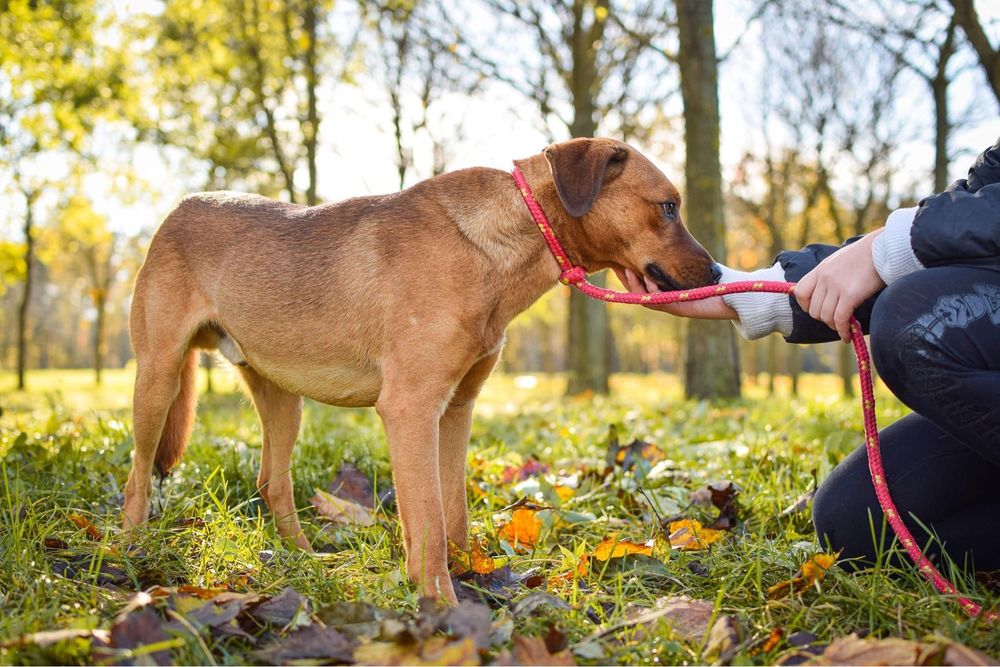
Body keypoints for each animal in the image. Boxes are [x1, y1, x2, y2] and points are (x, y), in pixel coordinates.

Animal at [123, 137, 720, 604]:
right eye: (669, 206)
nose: (716, 271)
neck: (499, 242)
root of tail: (178, 210)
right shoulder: (411, 409)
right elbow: (429, 520)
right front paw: (442, 605)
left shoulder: (455, 410)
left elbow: (452, 514)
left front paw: (468, 579)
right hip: (158, 378)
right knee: (138, 476)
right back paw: (130, 549)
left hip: (281, 397)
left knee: (272, 481)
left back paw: (306, 559)